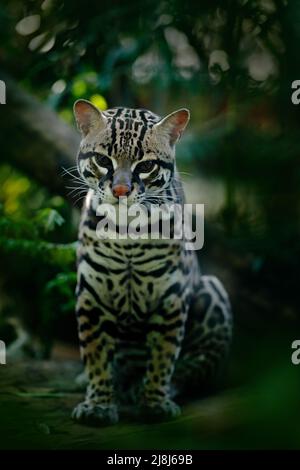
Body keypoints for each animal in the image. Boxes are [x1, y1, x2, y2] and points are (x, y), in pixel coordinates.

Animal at [71, 100, 232, 426]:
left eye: (145, 166)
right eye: (103, 160)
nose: (121, 192)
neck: (127, 231)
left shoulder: (170, 297)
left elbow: (163, 355)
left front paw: (155, 401)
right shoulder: (92, 296)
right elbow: (96, 356)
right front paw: (98, 405)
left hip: (213, 289)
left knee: (196, 367)